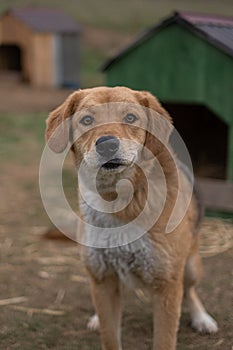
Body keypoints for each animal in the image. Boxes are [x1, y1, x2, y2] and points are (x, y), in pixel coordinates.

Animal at [46, 87, 218, 350]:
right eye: (87, 120)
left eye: (130, 117)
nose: (107, 145)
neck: (116, 200)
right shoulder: (103, 279)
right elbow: (110, 337)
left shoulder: (167, 286)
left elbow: (164, 339)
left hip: (189, 267)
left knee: (190, 291)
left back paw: (202, 318)